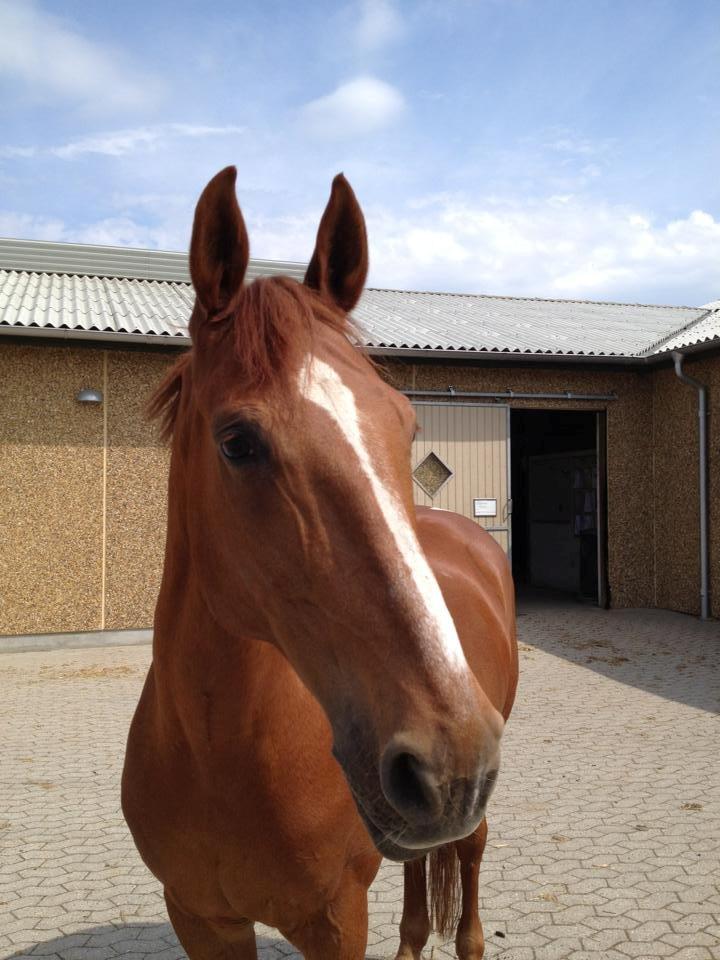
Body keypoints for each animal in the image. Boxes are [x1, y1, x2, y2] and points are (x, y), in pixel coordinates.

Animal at [124, 169, 516, 956]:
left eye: (407, 424)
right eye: (238, 442)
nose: (450, 758)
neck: (216, 751)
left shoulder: (334, 920)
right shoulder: (199, 918)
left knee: (468, 856)